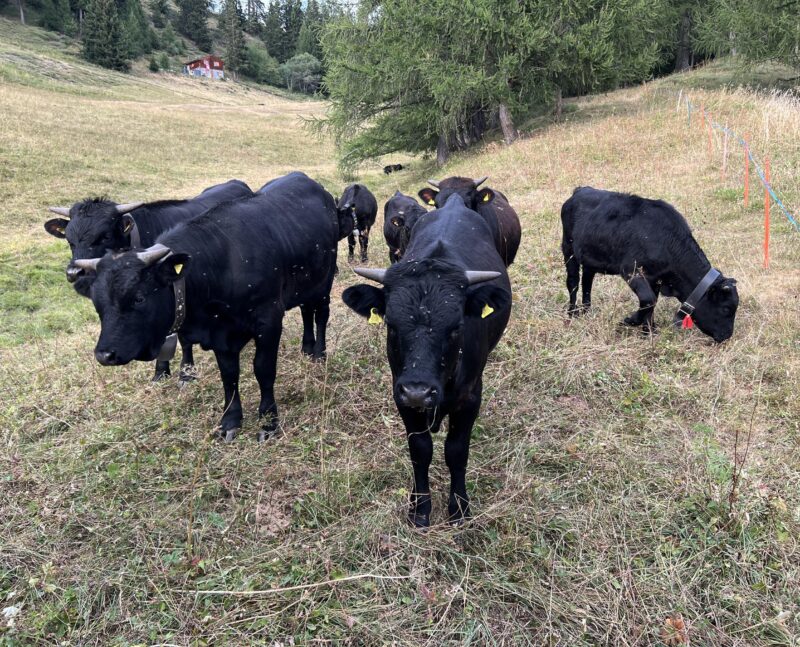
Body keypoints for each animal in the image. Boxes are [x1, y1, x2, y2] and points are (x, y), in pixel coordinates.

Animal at [43, 180, 253, 382]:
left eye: (105, 236)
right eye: (69, 240)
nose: (74, 272)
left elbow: (183, 339)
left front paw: (185, 373)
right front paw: (161, 371)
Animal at [69, 172, 340, 442]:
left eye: (139, 298)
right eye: (98, 303)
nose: (104, 355)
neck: (223, 263)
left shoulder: (269, 321)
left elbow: (263, 370)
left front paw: (268, 422)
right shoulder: (222, 334)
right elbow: (229, 375)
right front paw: (230, 420)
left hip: (325, 281)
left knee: (320, 315)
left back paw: (319, 352)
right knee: (306, 311)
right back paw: (307, 347)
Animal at [340, 195, 510, 528]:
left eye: (456, 326)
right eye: (391, 325)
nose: (419, 392)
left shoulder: (471, 397)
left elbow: (456, 451)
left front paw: (459, 507)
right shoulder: (401, 396)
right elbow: (420, 451)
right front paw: (419, 509)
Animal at [564, 185, 736, 342]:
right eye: (726, 308)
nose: (727, 336)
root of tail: (581, 190)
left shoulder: (655, 278)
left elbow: (652, 303)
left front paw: (649, 332)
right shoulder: (631, 270)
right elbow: (648, 299)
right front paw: (631, 321)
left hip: (589, 258)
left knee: (587, 280)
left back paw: (587, 310)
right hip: (568, 249)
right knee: (573, 282)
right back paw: (572, 313)